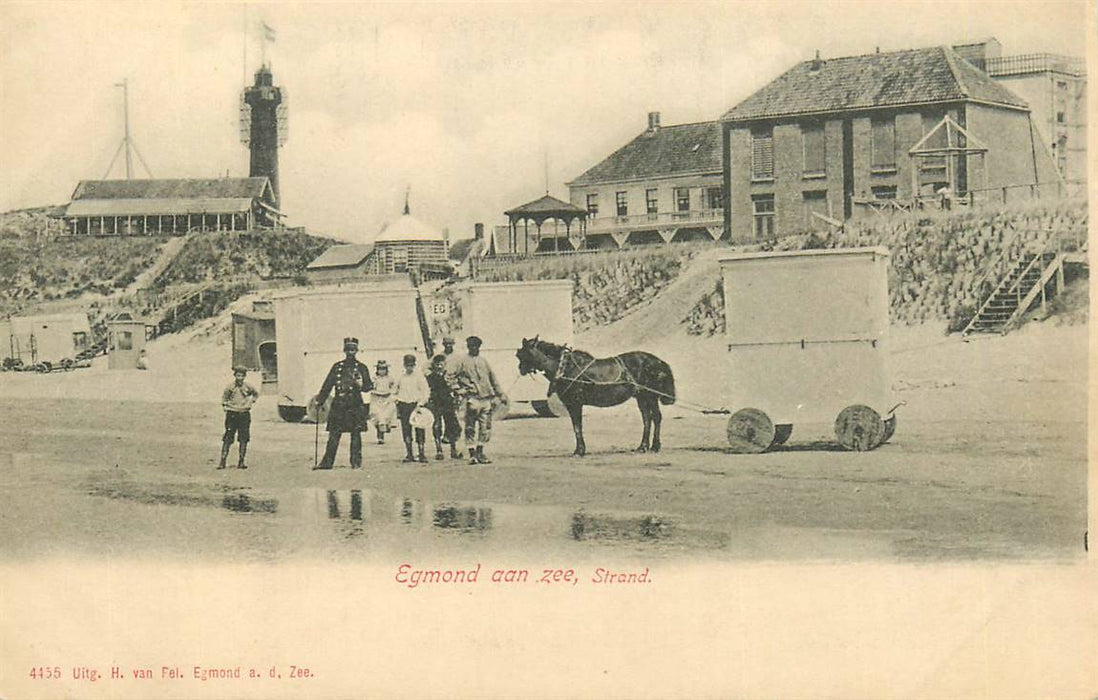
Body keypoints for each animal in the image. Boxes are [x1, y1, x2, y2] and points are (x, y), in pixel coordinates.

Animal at [516, 337, 676, 458]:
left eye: (524, 353)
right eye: (519, 355)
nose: (521, 369)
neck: (566, 367)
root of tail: (658, 361)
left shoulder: (575, 403)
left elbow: (577, 427)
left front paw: (580, 451)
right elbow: (576, 427)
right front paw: (579, 449)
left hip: (651, 396)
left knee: (656, 418)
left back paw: (655, 446)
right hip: (641, 397)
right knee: (647, 419)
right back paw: (643, 447)